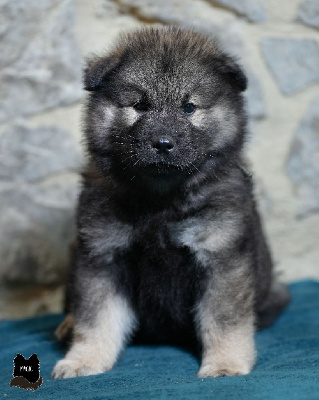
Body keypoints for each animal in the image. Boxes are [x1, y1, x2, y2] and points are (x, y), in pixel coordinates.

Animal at [51, 27, 292, 378]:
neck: (160, 200)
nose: (163, 143)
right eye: (139, 105)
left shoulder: (219, 256)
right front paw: (84, 359)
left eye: (189, 107)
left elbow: (223, 320)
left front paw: (226, 362)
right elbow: (96, 317)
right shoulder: (103, 254)